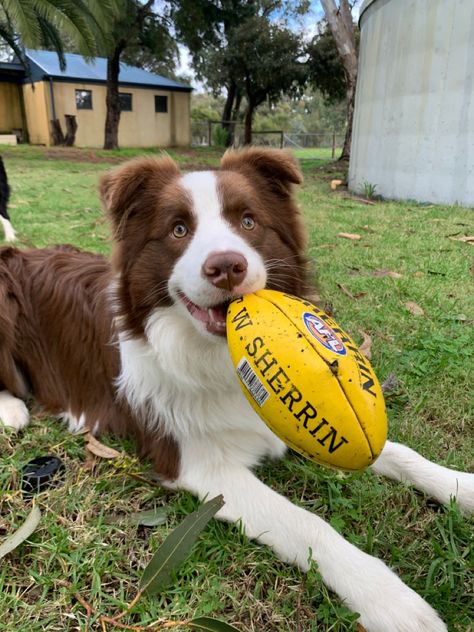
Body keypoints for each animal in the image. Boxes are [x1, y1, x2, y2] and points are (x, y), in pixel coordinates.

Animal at [0, 151, 472, 628]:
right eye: (178, 230)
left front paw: (462, 486)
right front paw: (389, 600)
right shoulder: (200, 465)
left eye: (248, 221)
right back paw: (12, 411)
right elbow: (306, 522)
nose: (226, 266)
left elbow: (398, 453)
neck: (213, 356)